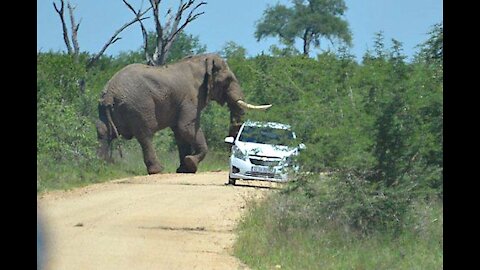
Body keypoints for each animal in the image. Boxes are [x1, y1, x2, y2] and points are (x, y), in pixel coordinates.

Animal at [95, 53, 272, 175]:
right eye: (227, 81)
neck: (202, 61)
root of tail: (110, 92)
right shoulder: (191, 97)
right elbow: (186, 128)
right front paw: (190, 164)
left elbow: (180, 134)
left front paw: (183, 169)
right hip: (139, 106)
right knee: (145, 135)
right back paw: (157, 170)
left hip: (105, 109)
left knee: (104, 133)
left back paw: (103, 165)